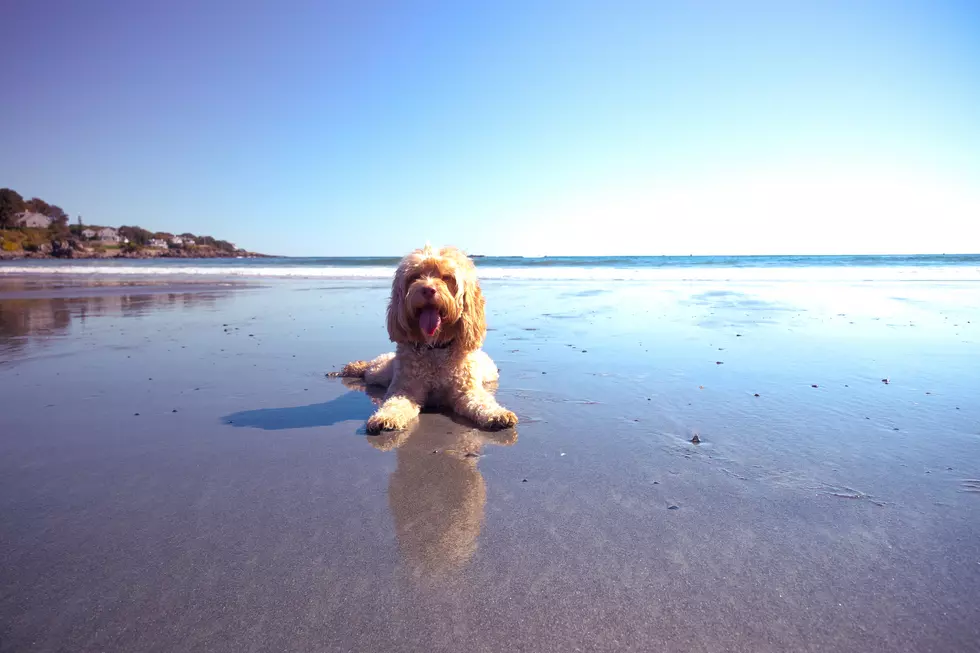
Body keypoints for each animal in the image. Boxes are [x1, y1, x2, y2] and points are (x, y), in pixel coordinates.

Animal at [332, 244, 516, 432]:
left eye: (446, 277)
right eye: (415, 276)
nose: (427, 290)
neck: (434, 347)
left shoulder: (467, 390)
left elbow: (482, 402)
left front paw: (498, 414)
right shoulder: (406, 388)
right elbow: (394, 403)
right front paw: (385, 416)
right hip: (380, 372)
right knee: (369, 368)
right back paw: (352, 368)